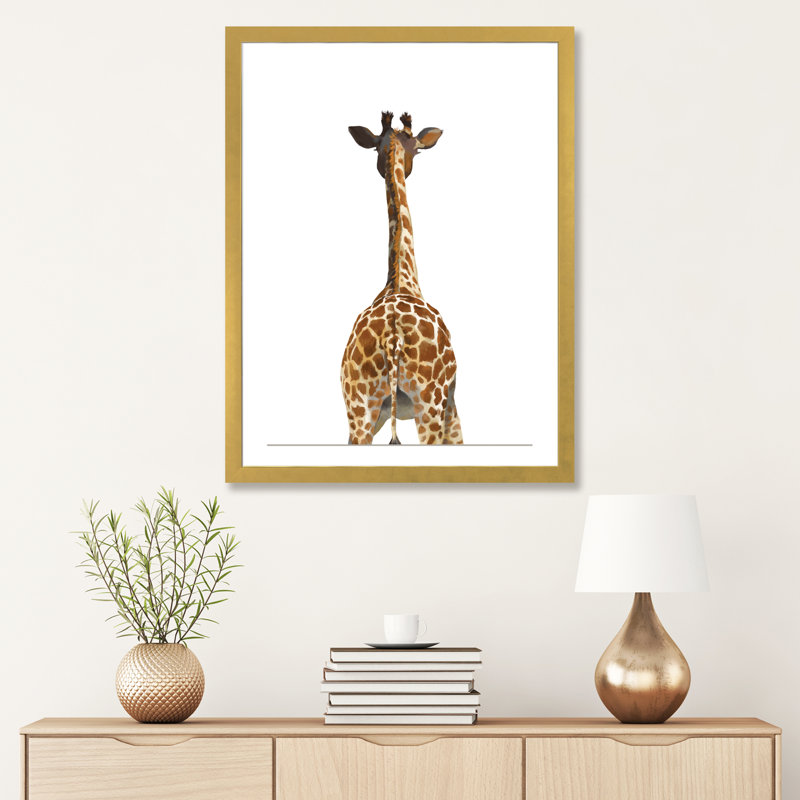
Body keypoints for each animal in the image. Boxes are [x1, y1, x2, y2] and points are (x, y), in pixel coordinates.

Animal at [341, 111, 463, 445]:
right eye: (418, 150)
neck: (402, 280)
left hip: (359, 409)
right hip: (429, 404)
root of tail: (392, 339)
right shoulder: (452, 404)